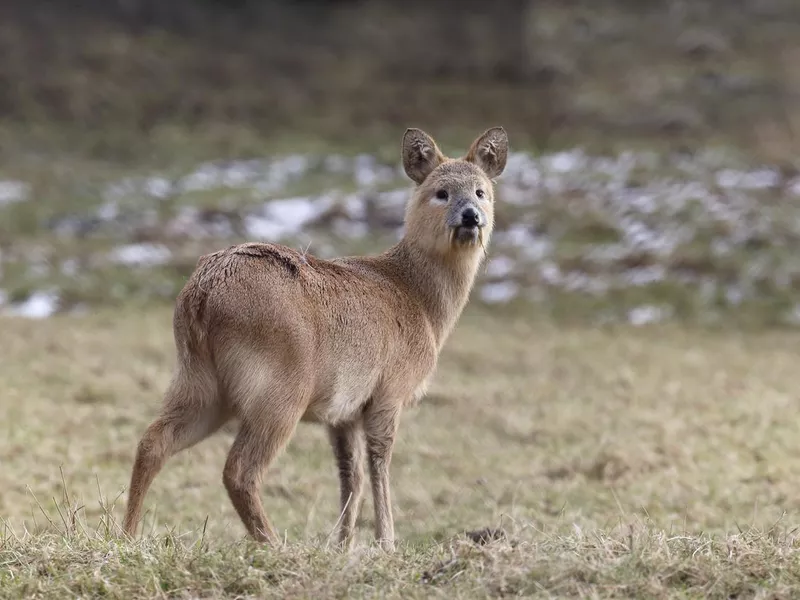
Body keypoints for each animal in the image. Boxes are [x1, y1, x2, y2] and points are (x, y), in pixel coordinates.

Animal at [120, 124, 506, 552]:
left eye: (480, 191)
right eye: (441, 192)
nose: (471, 216)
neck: (420, 301)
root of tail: (201, 295)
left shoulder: (342, 411)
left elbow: (350, 473)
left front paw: (342, 546)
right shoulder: (389, 391)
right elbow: (379, 464)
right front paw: (386, 543)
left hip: (198, 380)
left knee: (153, 442)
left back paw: (127, 537)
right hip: (279, 386)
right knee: (239, 469)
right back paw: (273, 544)